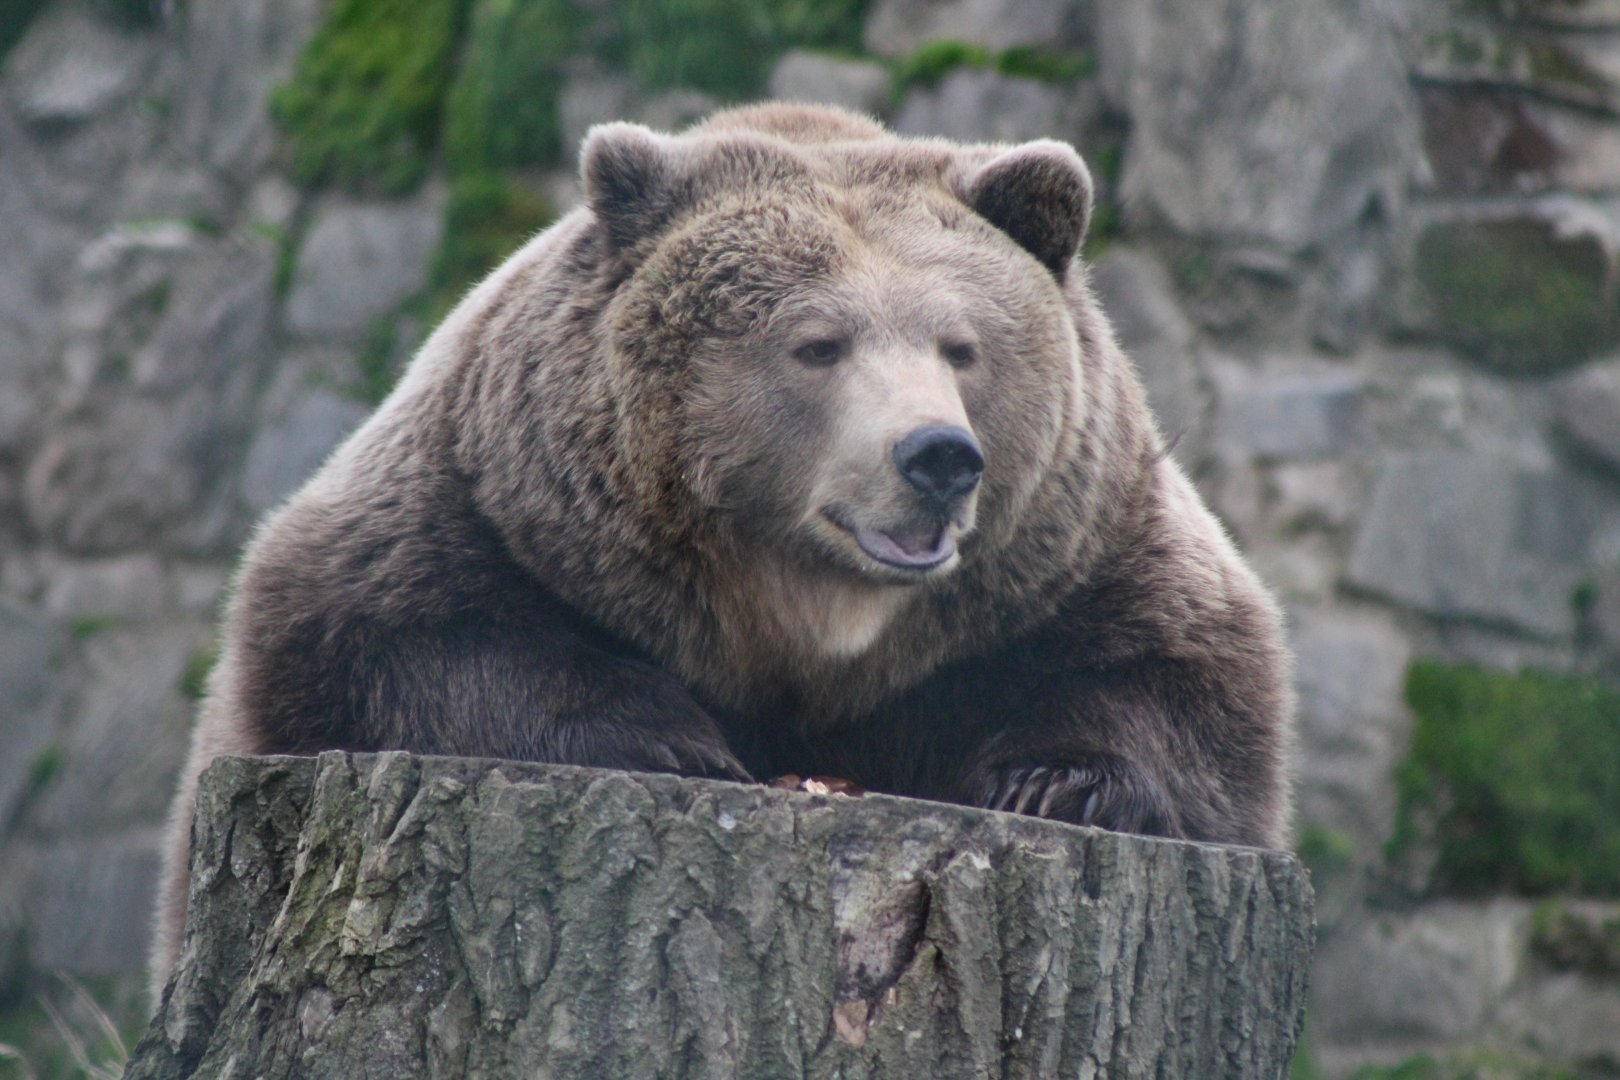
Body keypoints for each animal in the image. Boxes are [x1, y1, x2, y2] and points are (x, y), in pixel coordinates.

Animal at [152, 103, 1294, 991]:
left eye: (962, 345)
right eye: (818, 343)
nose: (938, 455)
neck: (805, 617)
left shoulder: (1071, 552)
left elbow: (1188, 679)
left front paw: (1053, 781)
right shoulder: (492, 501)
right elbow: (386, 630)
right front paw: (674, 738)